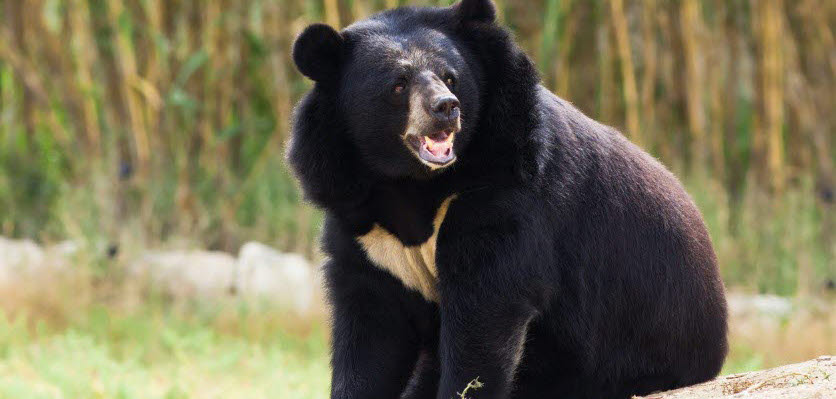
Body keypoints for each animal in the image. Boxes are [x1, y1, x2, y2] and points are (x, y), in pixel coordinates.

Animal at [288, 1, 724, 398]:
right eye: (398, 84)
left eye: (451, 78)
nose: (446, 109)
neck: (412, 183)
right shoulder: (362, 224)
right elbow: (370, 330)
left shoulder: (504, 194)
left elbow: (485, 313)